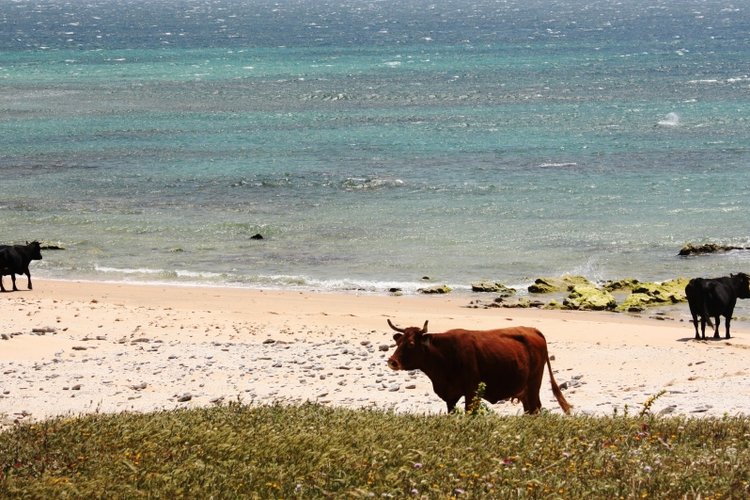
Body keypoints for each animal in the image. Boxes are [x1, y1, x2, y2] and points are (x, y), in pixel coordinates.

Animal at [386, 319, 571, 414]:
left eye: (411, 344)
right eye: (398, 342)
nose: (392, 361)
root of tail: (532, 329)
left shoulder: (471, 391)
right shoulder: (451, 396)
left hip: (534, 384)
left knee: (535, 408)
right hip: (524, 390)